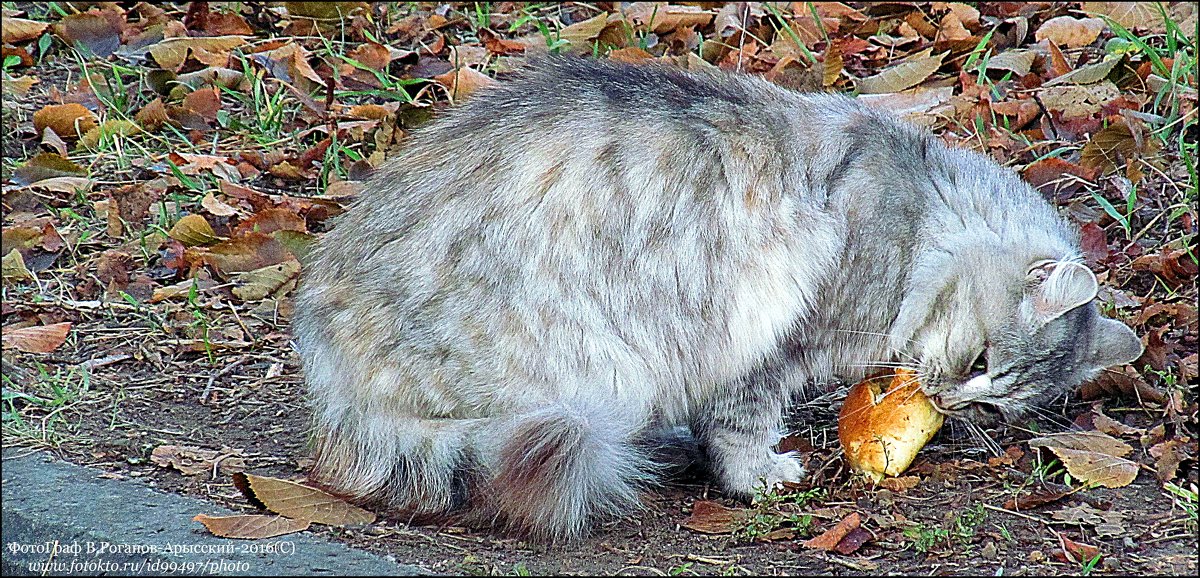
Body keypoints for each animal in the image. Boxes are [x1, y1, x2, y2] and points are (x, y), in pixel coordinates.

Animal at [292, 56, 1142, 544]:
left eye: (997, 405)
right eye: (979, 361)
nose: (951, 403)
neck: (921, 211)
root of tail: (334, 377)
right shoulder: (774, 337)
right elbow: (742, 422)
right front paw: (757, 474)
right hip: (584, 370)